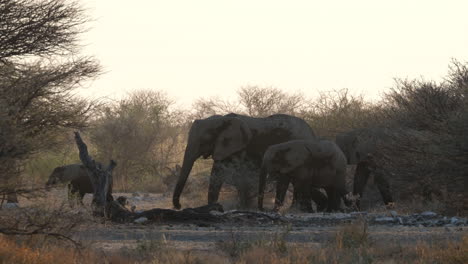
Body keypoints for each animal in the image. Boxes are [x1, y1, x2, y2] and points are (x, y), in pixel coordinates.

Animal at [172, 112, 330, 209]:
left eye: (204, 140)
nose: (179, 206)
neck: (221, 120)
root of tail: (312, 132)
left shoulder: (238, 147)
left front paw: (242, 207)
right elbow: (216, 174)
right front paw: (213, 207)